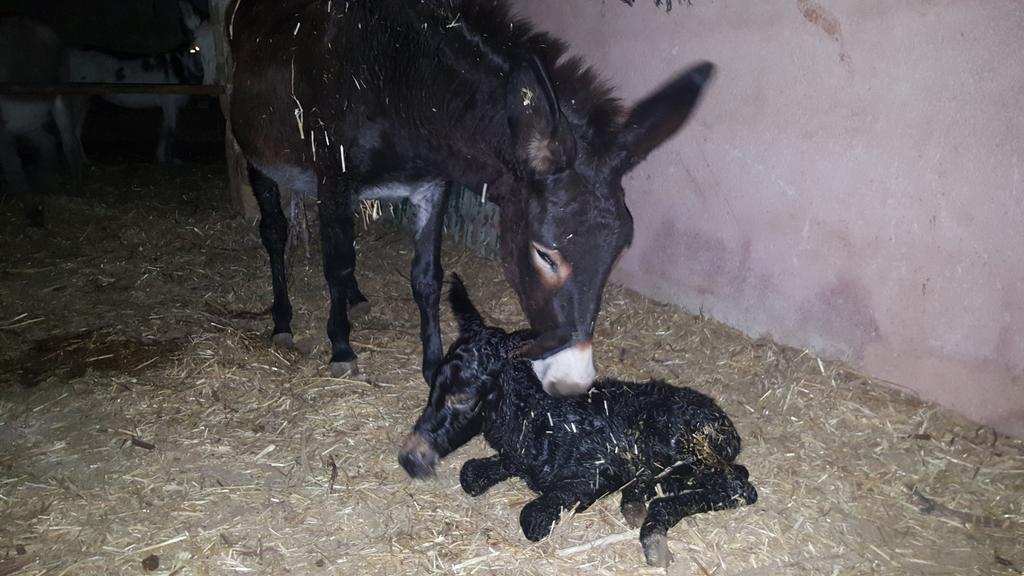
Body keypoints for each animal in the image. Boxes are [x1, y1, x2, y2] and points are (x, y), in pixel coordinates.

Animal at [401, 274, 761, 565]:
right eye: (433, 385)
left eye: (464, 397)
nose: (409, 458)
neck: (542, 418)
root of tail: (726, 424)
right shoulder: (517, 459)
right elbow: (470, 474)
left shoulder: (593, 474)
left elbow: (532, 517)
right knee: (726, 474)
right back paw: (639, 497)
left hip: (688, 440)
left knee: (739, 486)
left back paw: (654, 530)